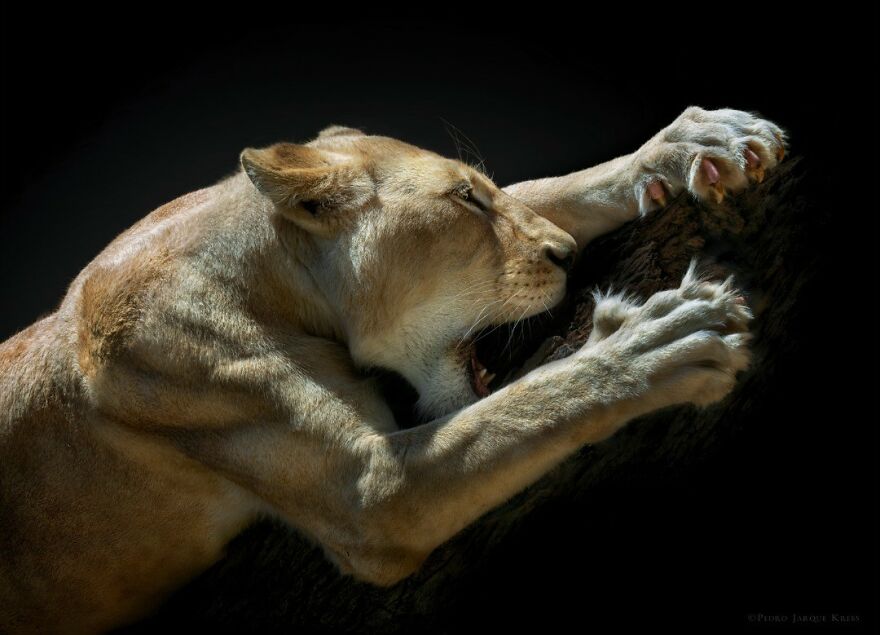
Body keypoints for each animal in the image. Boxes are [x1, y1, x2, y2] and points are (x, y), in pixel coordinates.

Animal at [0, 107, 785, 633]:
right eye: (464, 199)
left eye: (481, 189)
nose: (564, 255)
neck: (273, 273)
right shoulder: (371, 497)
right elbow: (530, 404)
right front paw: (657, 343)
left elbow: (553, 186)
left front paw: (691, 143)